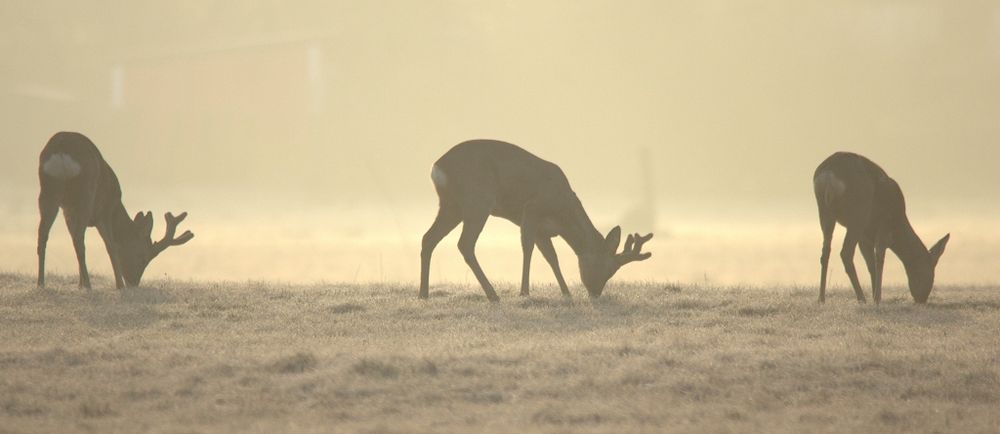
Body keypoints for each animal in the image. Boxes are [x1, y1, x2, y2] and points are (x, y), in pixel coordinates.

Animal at [37, 131, 194, 290]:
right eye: (143, 258)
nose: (133, 283)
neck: (116, 208)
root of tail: (61, 150)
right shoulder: (105, 212)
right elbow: (111, 246)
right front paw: (119, 285)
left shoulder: (68, 211)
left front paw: (79, 284)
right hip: (85, 195)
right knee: (79, 239)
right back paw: (88, 285)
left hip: (49, 192)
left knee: (44, 235)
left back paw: (41, 283)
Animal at [418, 139, 652, 302]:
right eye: (608, 268)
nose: (595, 293)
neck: (563, 211)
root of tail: (436, 167)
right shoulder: (531, 209)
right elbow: (528, 248)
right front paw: (524, 292)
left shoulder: (542, 230)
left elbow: (551, 257)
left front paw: (566, 292)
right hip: (478, 201)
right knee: (465, 244)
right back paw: (493, 294)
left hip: (451, 207)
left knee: (428, 238)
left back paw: (423, 293)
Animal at [812, 153, 944, 306]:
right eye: (931, 273)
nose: (921, 299)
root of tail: (828, 175)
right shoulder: (883, 226)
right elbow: (879, 257)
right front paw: (877, 298)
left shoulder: (865, 238)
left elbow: (870, 264)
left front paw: (875, 294)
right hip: (857, 217)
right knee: (845, 253)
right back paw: (861, 297)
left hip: (825, 213)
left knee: (825, 251)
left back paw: (821, 298)